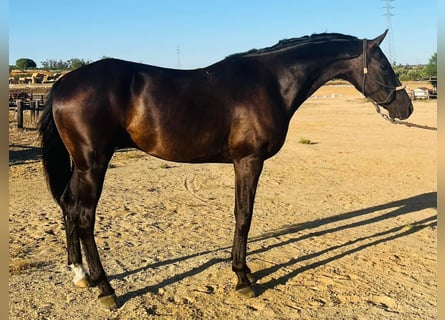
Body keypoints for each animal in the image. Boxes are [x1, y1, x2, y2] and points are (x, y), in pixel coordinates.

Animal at [39, 30, 412, 308]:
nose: (406, 108)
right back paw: (106, 288)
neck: (270, 82)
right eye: (384, 66)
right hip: (94, 164)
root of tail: (63, 83)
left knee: (69, 206)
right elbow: (244, 216)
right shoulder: (248, 161)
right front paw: (243, 277)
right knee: (85, 217)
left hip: (82, 166)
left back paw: (81, 275)